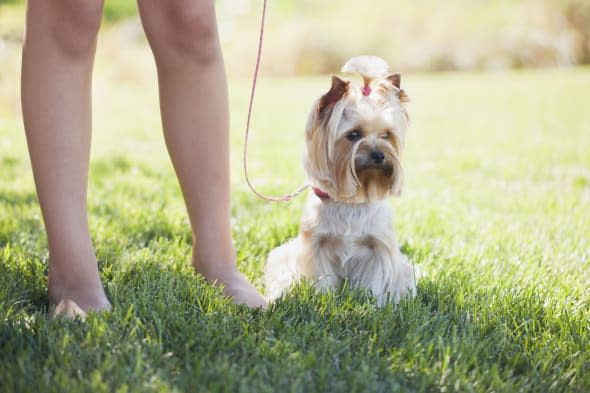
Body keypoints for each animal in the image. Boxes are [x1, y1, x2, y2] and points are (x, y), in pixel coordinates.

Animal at [266, 56, 418, 304]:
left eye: (386, 135)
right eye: (353, 135)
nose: (379, 155)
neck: (351, 201)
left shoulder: (377, 247)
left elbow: (373, 282)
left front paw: (371, 303)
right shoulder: (316, 246)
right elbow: (323, 279)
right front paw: (324, 299)